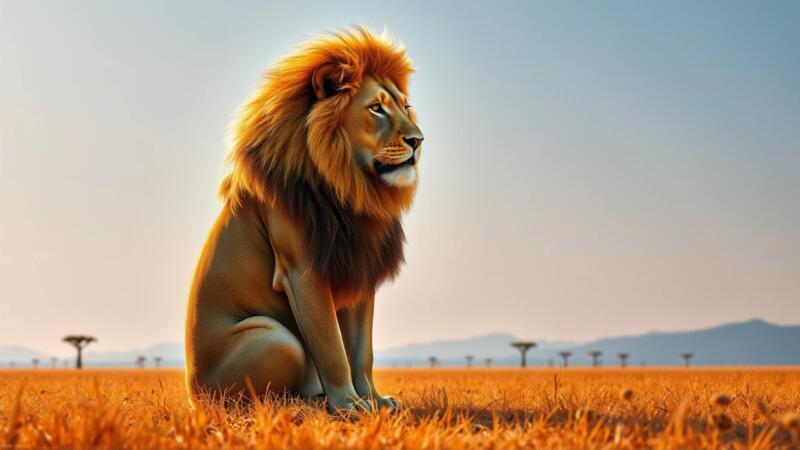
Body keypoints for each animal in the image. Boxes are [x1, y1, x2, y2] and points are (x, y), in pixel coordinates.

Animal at [185, 27, 423, 413]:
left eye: (405, 106)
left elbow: (362, 350)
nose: (419, 141)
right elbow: (332, 347)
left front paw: (374, 401)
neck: (350, 188)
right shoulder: (301, 271)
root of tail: (192, 396)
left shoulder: (359, 265)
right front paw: (349, 405)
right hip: (276, 340)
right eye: (376, 108)